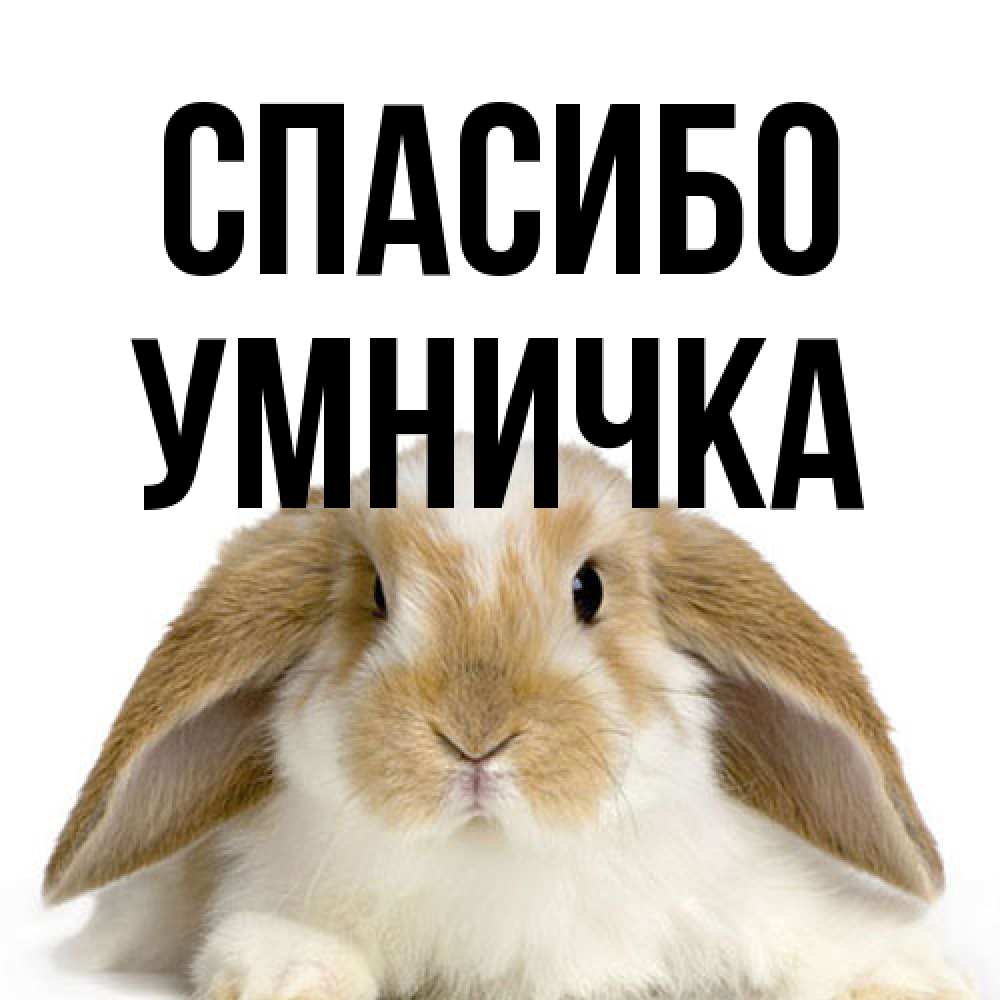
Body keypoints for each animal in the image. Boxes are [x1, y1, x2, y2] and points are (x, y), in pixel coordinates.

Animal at [45, 436, 975, 1000]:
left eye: (589, 589)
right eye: (375, 596)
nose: (475, 737)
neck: (495, 857)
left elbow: (817, 939)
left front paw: (909, 977)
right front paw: (290, 976)